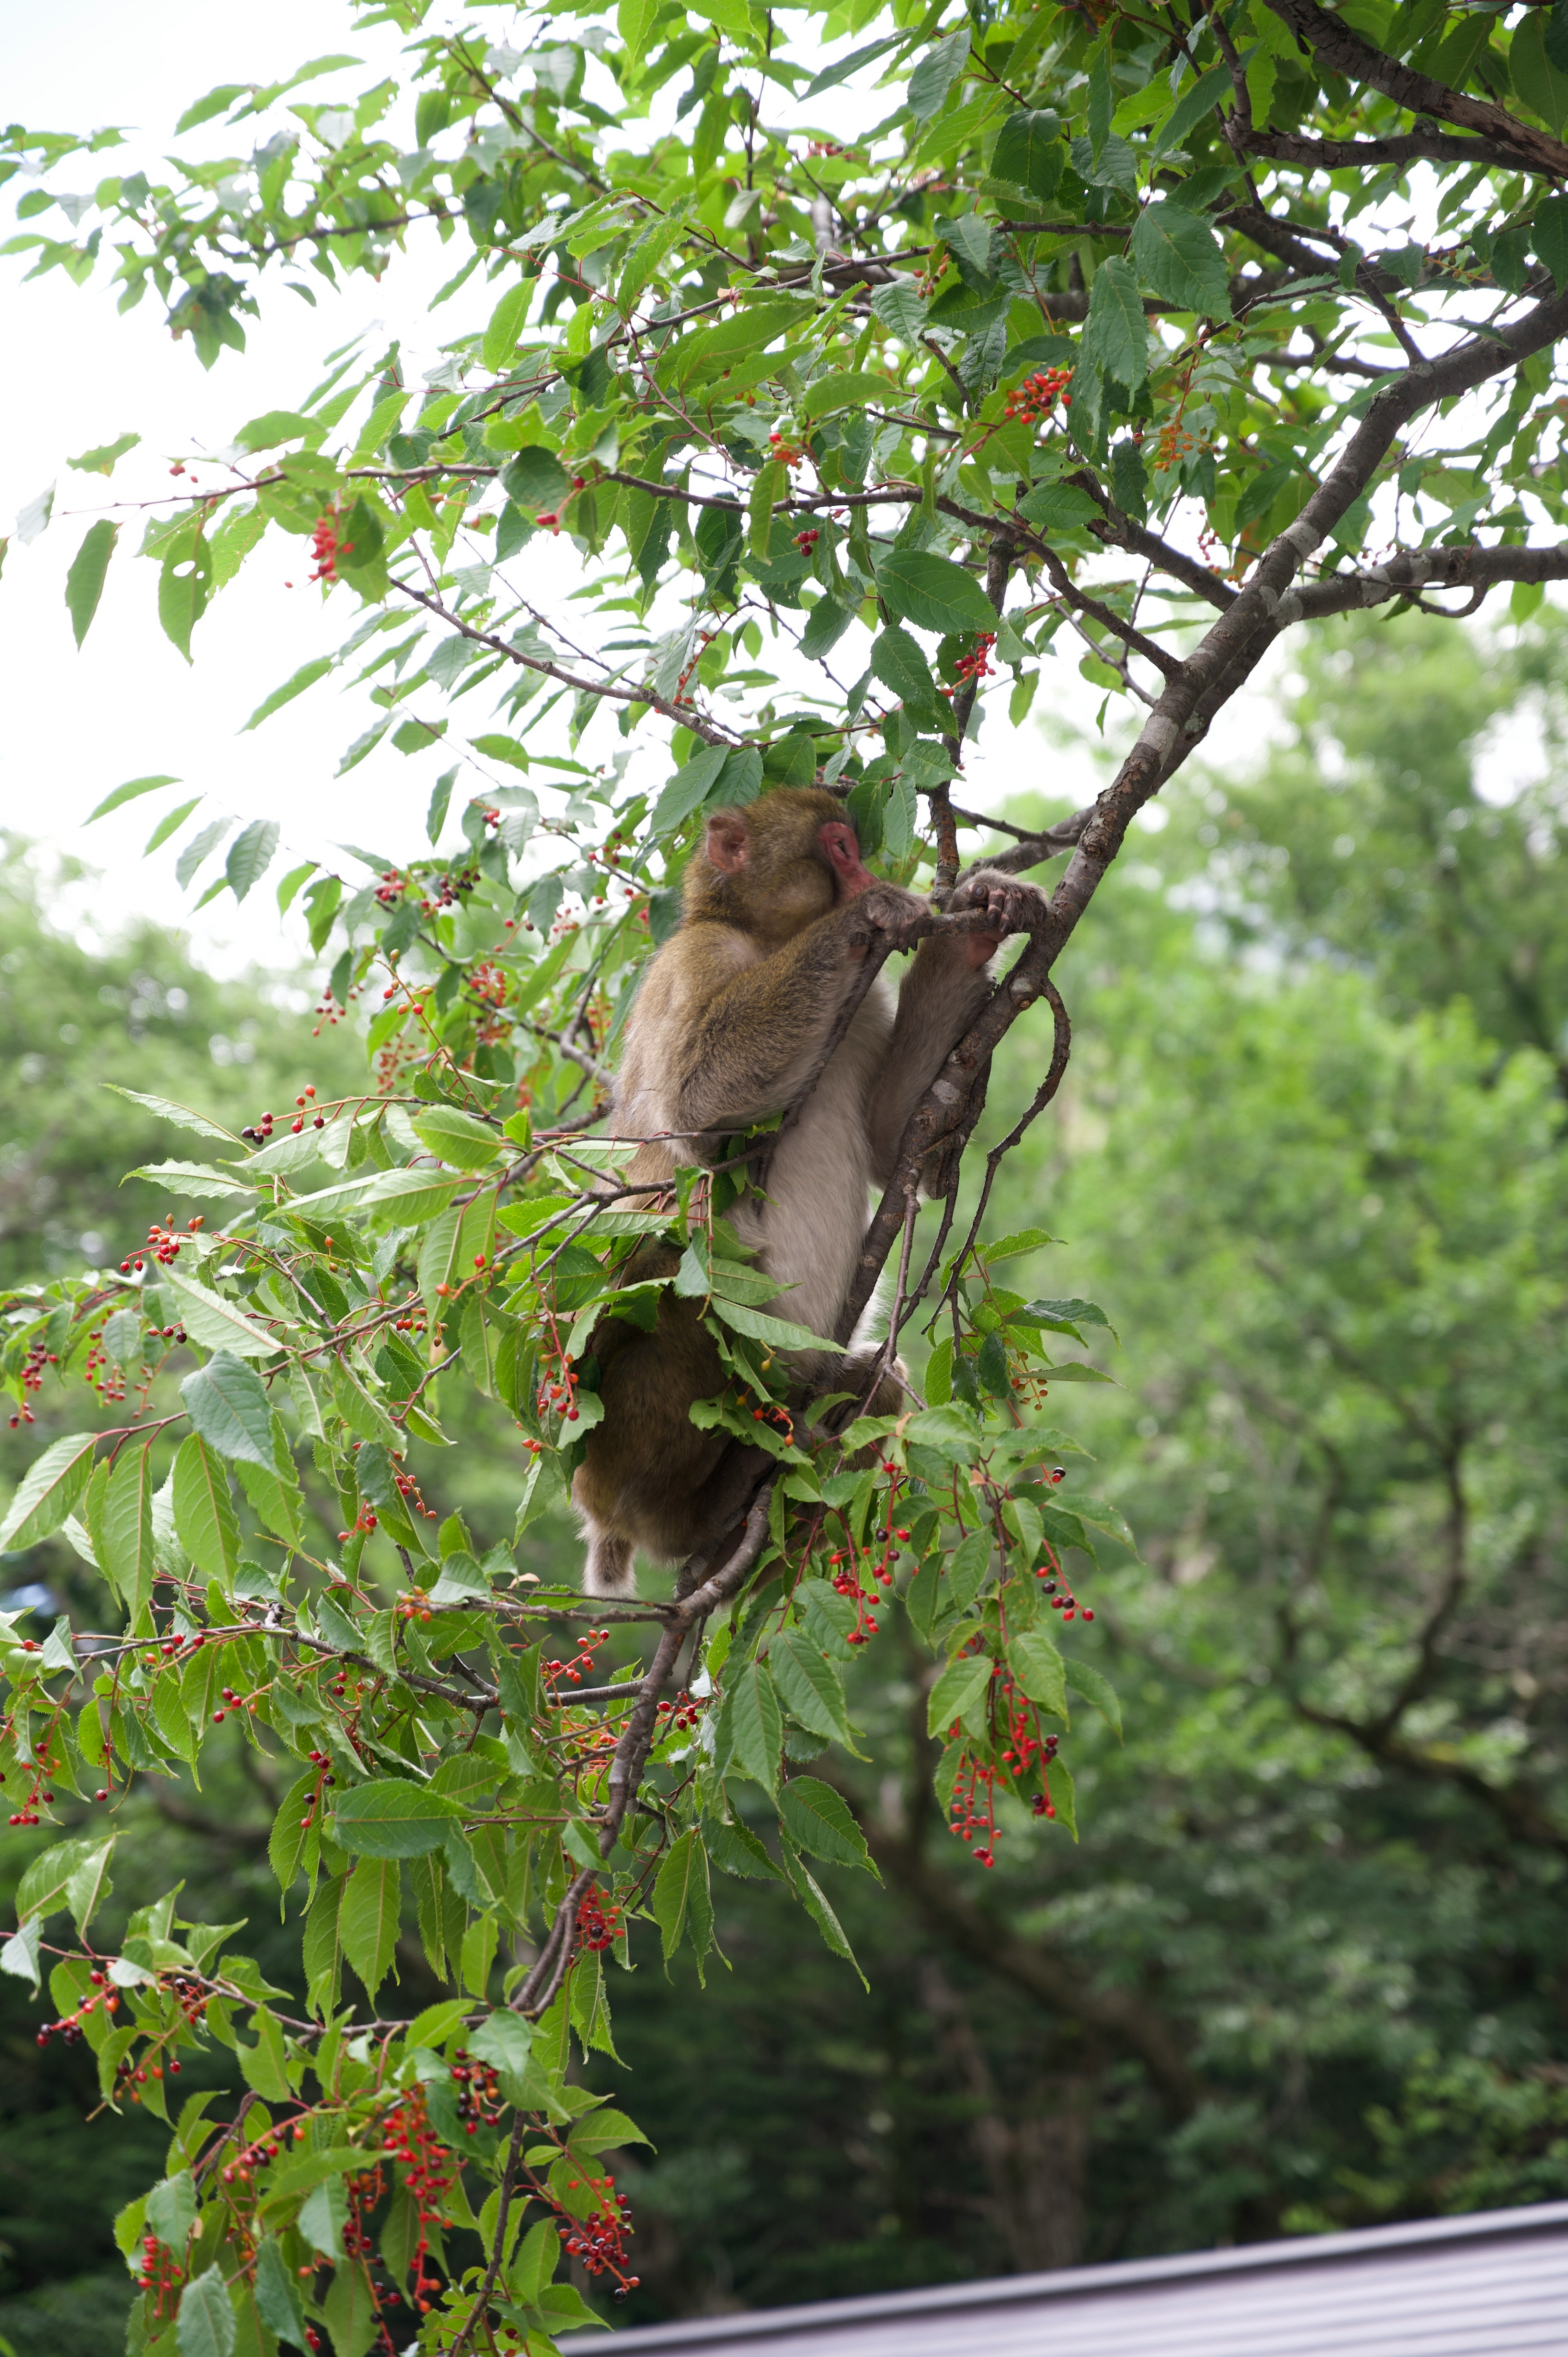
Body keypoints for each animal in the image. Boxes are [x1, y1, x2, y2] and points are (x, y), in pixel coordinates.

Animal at [568, 782, 1047, 1593]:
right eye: (841, 849)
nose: (865, 876)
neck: (768, 941)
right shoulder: (694, 962)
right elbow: (696, 1109)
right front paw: (868, 914)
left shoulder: (867, 998)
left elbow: (896, 1143)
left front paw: (976, 923)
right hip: (605, 1453)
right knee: (675, 1266)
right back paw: (693, 1517)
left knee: (879, 1384)